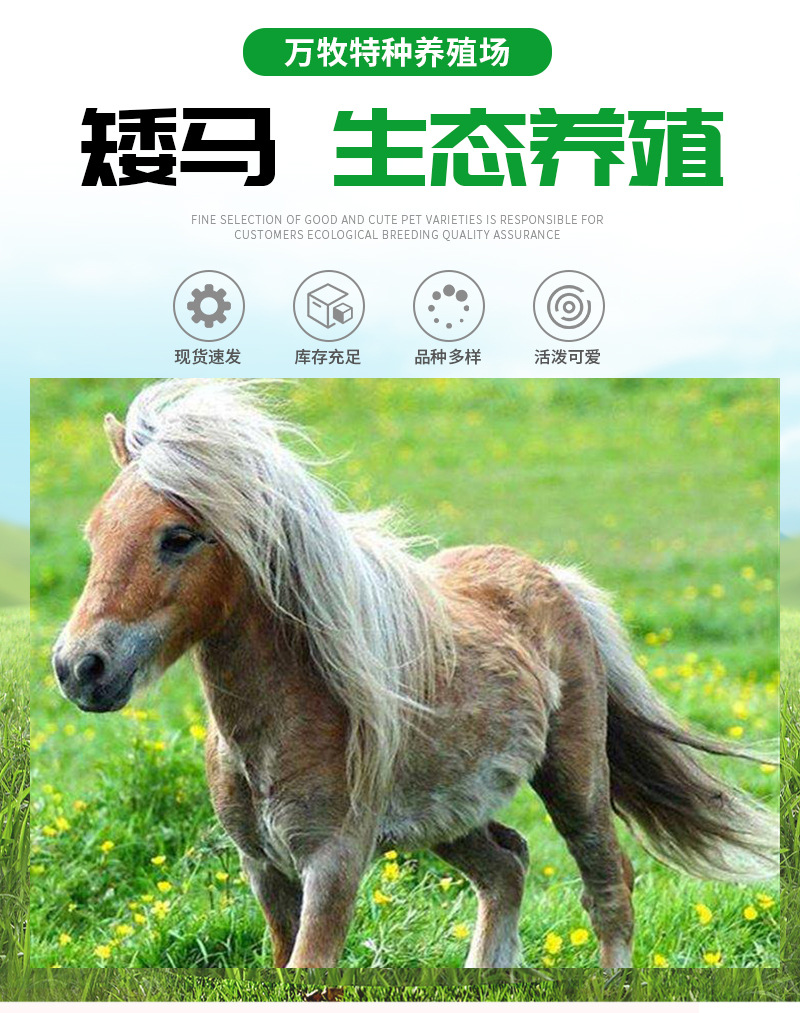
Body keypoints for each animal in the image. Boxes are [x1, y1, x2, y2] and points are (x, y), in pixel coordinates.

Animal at [52, 379, 777, 969]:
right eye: (94, 534)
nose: (79, 667)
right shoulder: (264, 869)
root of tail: (552, 577)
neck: (286, 720)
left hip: (574, 779)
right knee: (507, 866)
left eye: (178, 537)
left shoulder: (333, 867)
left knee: (609, 888)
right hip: (451, 816)